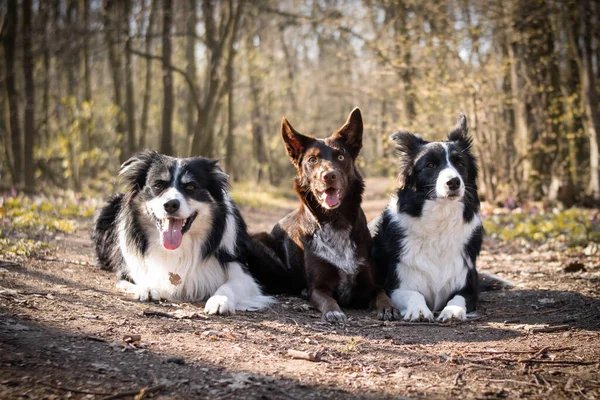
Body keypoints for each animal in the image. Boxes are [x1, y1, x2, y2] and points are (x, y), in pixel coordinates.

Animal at [246, 108, 400, 324]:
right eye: (312, 160)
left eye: (341, 157)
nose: (328, 176)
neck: (335, 221)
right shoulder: (319, 288)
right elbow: (328, 300)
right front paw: (334, 312)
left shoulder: (370, 282)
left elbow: (381, 293)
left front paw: (389, 307)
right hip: (256, 241)